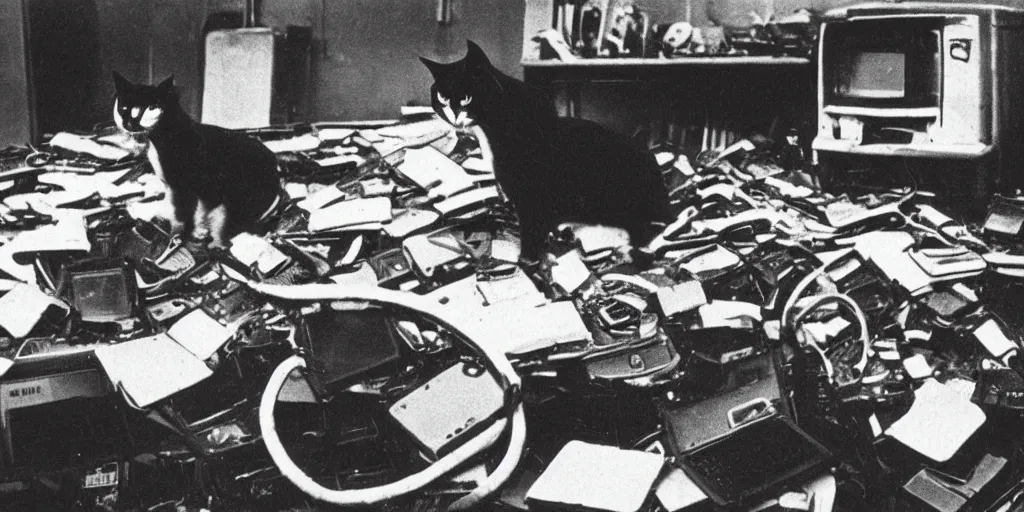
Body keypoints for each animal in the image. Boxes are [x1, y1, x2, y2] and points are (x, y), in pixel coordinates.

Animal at [111, 72, 284, 245]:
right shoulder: (174, 189)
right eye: (124, 107)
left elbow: (180, 216)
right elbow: (181, 212)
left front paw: (176, 238)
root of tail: (274, 165)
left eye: (150, 108)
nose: (131, 121)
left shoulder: (182, 187)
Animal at [419, 39, 675, 260]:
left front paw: (527, 259)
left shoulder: (529, 192)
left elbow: (531, 227)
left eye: (466, 98)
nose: (454, 115)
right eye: (442, 97)